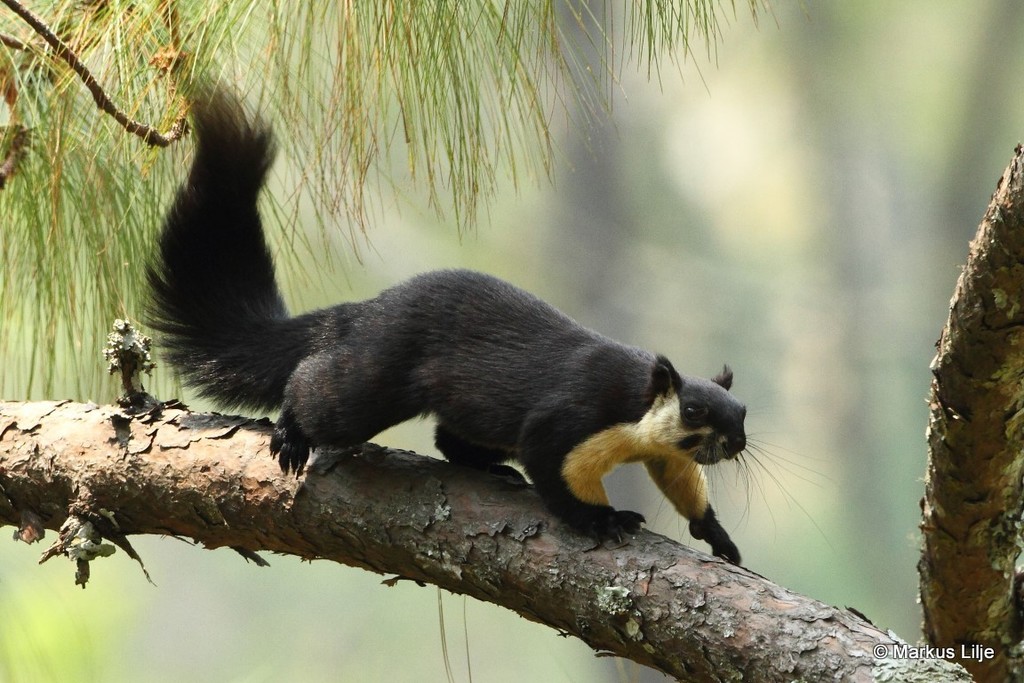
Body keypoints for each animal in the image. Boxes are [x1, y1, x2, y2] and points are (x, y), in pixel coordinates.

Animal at [147, 90, 748, 564]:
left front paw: (718, 536)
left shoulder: (662, 453)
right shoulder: (568, 419)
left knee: (447, 438)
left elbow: (682, 484)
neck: (633, 400)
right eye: (694, 410)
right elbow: (556, 478)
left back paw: (492, 470)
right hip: (375, 377)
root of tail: (364, 311)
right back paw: (292, 436)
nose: (737, 443)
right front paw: (606, 520)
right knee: (314, 388)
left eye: (741, 410)